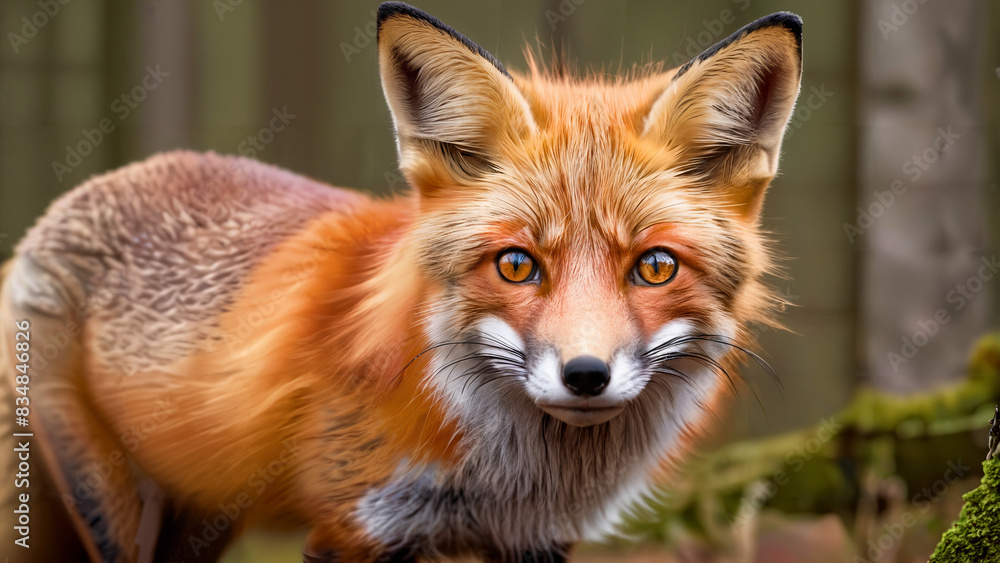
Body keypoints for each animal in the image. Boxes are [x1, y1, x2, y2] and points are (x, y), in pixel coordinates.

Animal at [0, 2, 802, 562]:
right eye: (516, 264)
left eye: (655, 266)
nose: (584, 375)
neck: (512, 478)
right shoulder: (355, 526)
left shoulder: (534, 539)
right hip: (108, 505)